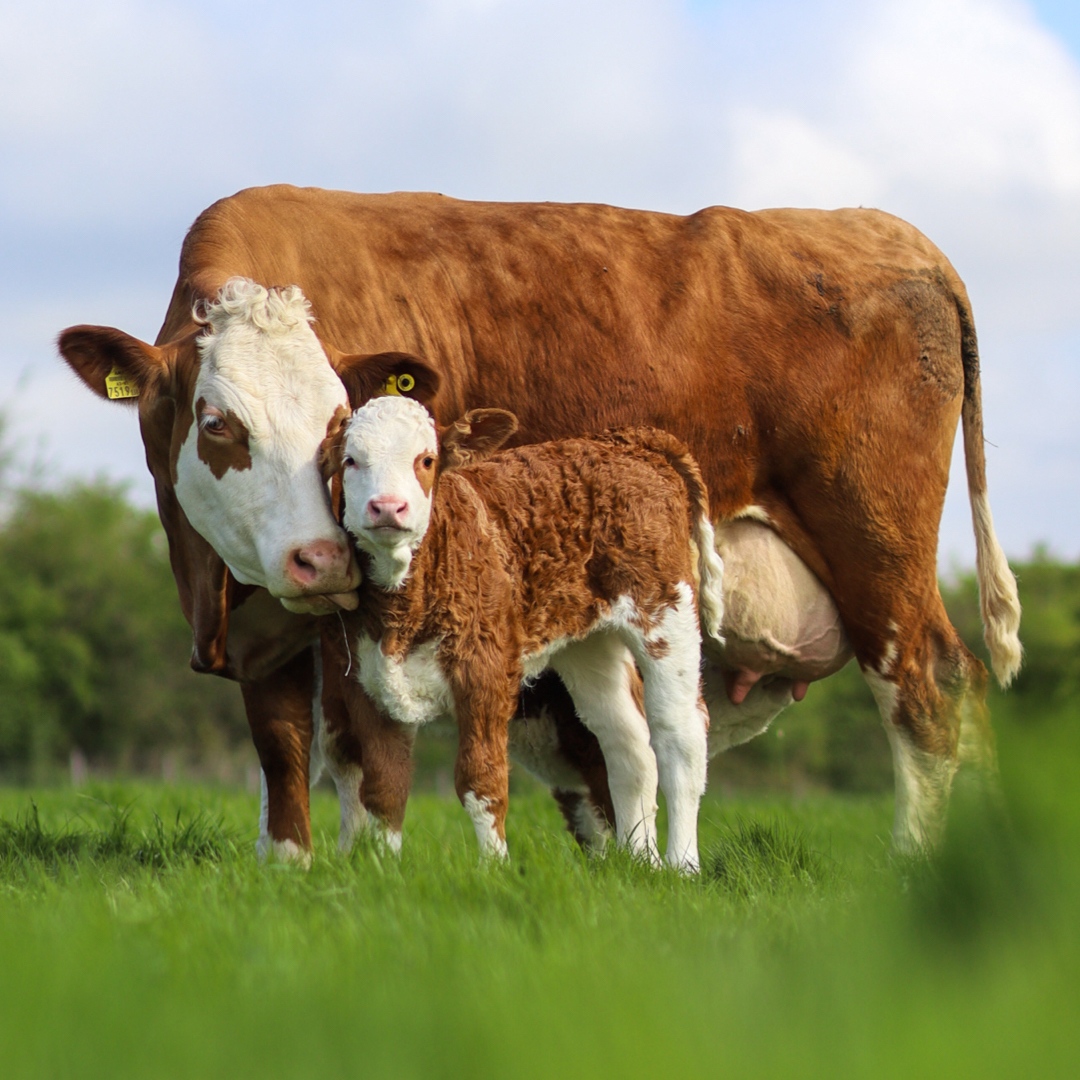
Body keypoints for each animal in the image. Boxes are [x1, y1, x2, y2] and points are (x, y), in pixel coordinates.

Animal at [325, 385, 725, 870]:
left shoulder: (484, 674)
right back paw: (640, 862)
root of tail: (626, 440)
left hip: (666, 608)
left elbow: (481, 782)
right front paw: (385, 869)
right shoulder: (364, 683)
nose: (387, 506)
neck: (404, 606)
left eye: (427, 460)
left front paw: (493, 869)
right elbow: (385, 789)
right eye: (350, 460)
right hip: (590, 643)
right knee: (627, 745)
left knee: (679, 736)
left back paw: (682, 865)